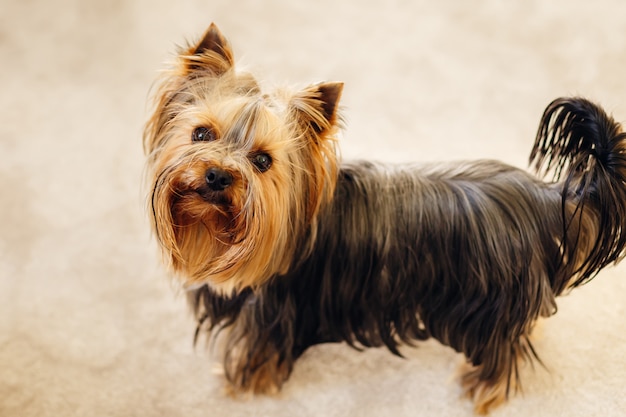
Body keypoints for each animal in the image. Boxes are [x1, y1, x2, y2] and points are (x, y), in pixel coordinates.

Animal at [144, 24, 624, 414]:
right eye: (201, 134)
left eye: (263, 161)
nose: (217, 175)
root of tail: (544, 197)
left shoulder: (271, 319)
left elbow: (253, 360)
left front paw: (237, 388)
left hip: (486, 310)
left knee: (500, 358)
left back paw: (480, 392)